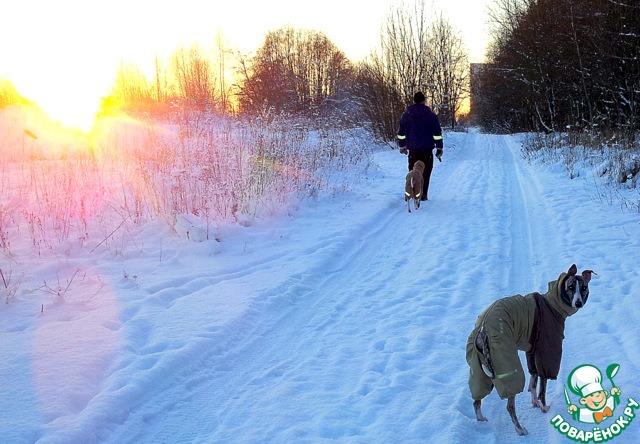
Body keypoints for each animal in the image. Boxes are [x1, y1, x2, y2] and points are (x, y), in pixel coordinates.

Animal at [466, 264, 595, 436]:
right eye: (571, 287)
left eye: (584, 287)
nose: (578, 303)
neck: (553, 303)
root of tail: (482, 330)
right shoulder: (546, 353)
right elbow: (542, 388)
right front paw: (544, 407)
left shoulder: (532, 351)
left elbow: (533, 381)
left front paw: (535, 403)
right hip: (507, 364)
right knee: (509, 405)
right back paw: (520, 429)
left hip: (479, 367)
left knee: (476, 399)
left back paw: (481, 419)